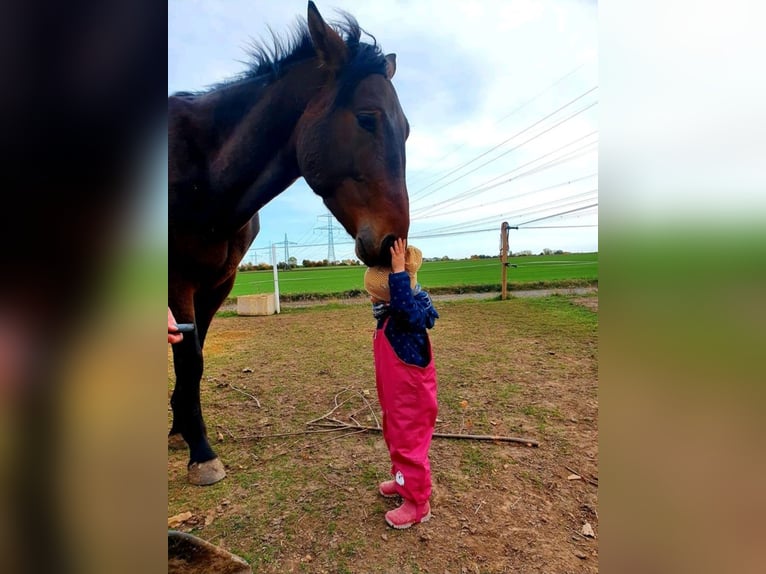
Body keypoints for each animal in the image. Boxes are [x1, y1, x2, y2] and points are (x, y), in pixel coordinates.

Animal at [168, 1, 410, 485]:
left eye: (407, 130)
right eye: (367, 118)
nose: (395, 240)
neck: (205, 178)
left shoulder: (216, 285)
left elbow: (193, 358)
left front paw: (183, 428)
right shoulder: (176, 281)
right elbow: (189, 360)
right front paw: (201, 453)